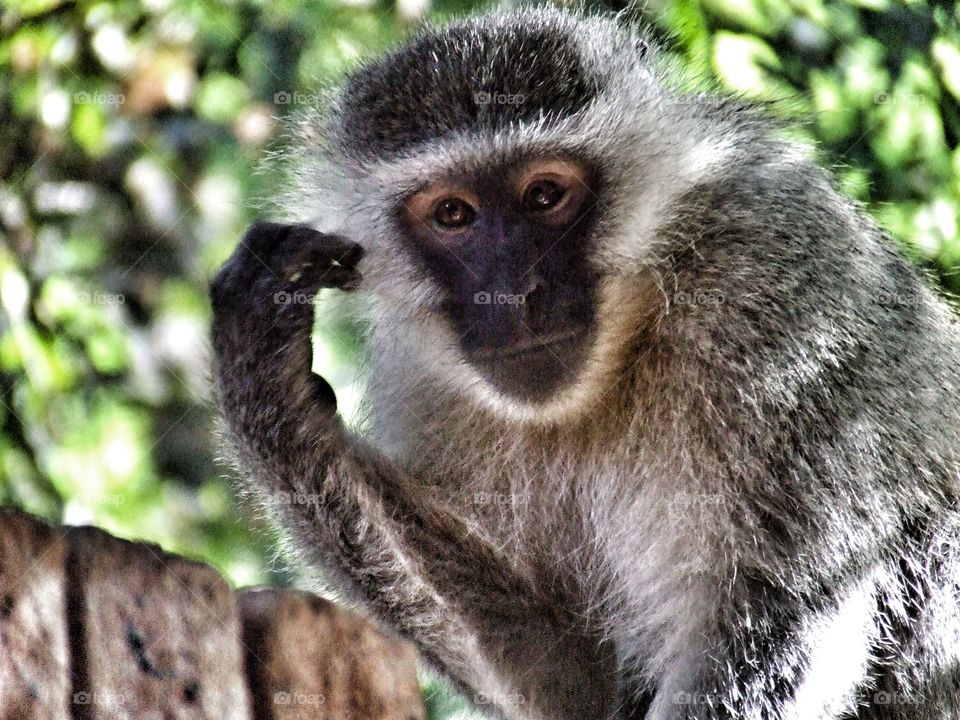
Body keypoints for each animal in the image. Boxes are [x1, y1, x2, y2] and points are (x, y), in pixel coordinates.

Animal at [209, 7, 960, 720]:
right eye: (452, 214)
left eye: (545, 195)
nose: (514, 291)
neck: (627, 349)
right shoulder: (425, 384)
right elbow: (575, 681)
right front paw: (267, 389)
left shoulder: (781, 290)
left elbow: (786, 608)